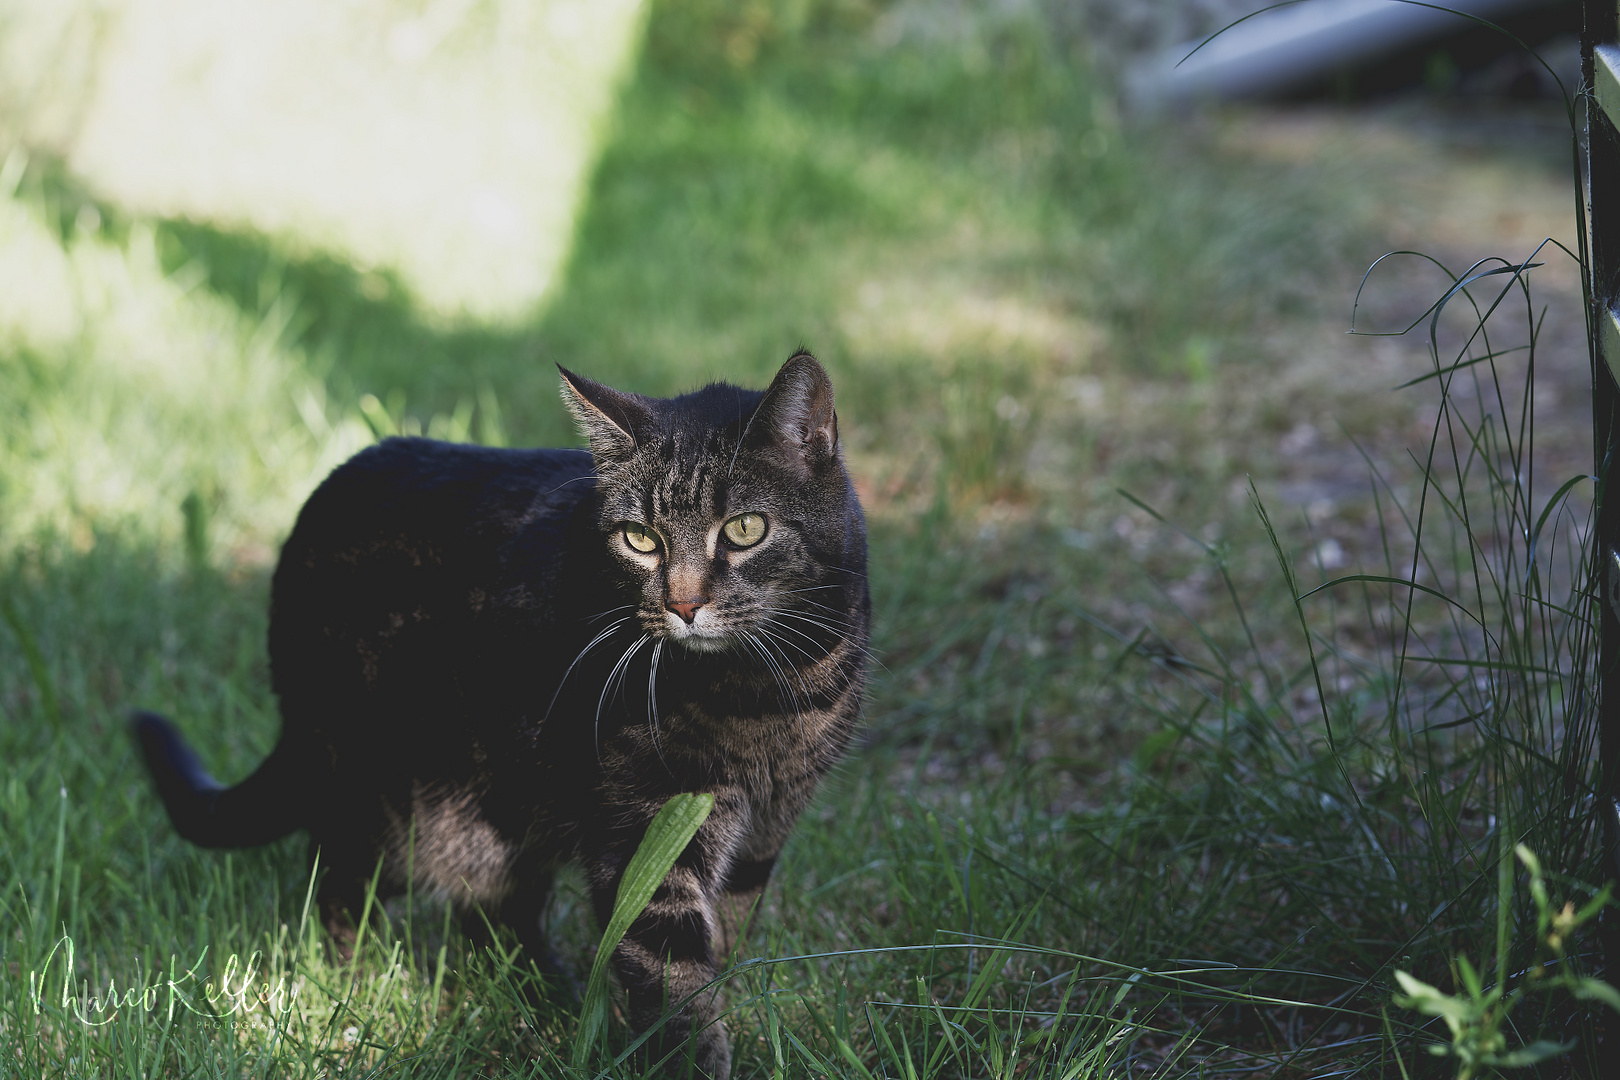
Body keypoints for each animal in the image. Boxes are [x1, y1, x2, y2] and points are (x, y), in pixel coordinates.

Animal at [134, 351, 874, 1075]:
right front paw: (692, 1059)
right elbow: (676, 986)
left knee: (493, 913)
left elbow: (725, 943)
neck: (767, 694)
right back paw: (359, 987)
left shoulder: (764, 831)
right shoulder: (648, 831)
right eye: (641, 539)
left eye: (745, 529)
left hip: (504, 813)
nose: (683, 604)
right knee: (338, 881)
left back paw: (546, 1001)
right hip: (387, 799)